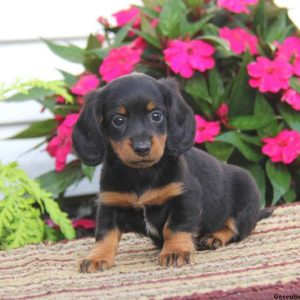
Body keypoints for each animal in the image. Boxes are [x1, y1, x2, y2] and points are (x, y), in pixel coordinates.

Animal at [72, 72, 272, 272]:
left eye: (156, 115)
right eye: (118, 120)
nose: (142, 148)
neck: (141, 174)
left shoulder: (184, 198)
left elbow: (174, 227)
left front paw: (175, 251)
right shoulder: (110, 203)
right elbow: (105, 234)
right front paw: (97, 257)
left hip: (245, 195)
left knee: (234, 228)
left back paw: (213, 237)